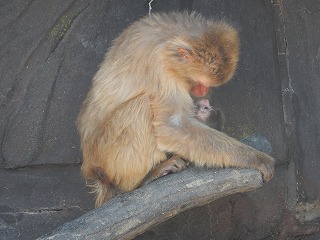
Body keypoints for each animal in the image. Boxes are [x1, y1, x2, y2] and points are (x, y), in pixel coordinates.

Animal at [77, 11, 276, 206]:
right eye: (199, 82)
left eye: (205, 86)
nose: (203, 91)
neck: (170, 37)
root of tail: (93, 169)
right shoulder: (158, 66)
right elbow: (173, 125)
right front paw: (256, 158)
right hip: (109, 156)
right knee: (140, 106)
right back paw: (138, 181)